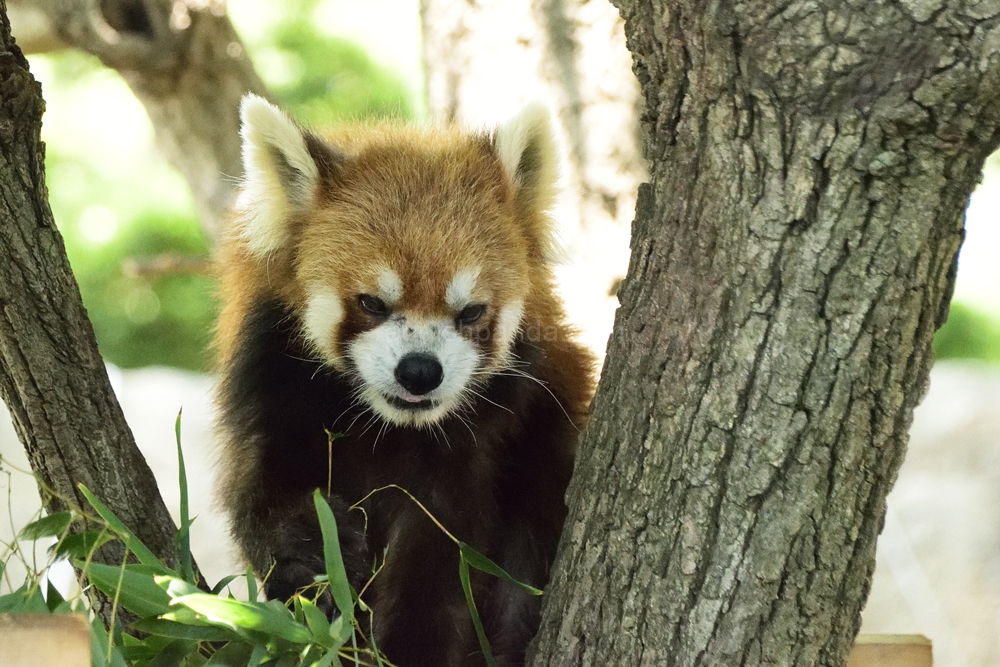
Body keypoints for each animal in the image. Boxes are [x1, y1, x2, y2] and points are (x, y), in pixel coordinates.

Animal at [216, 95, 592, 667]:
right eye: (372, 302)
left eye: (471, 312)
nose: (419, 371)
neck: (389, 426)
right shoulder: (272, 388)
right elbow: (258, 496)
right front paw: (315, 550)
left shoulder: (483, 444)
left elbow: (439, 565)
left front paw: (404, 645)